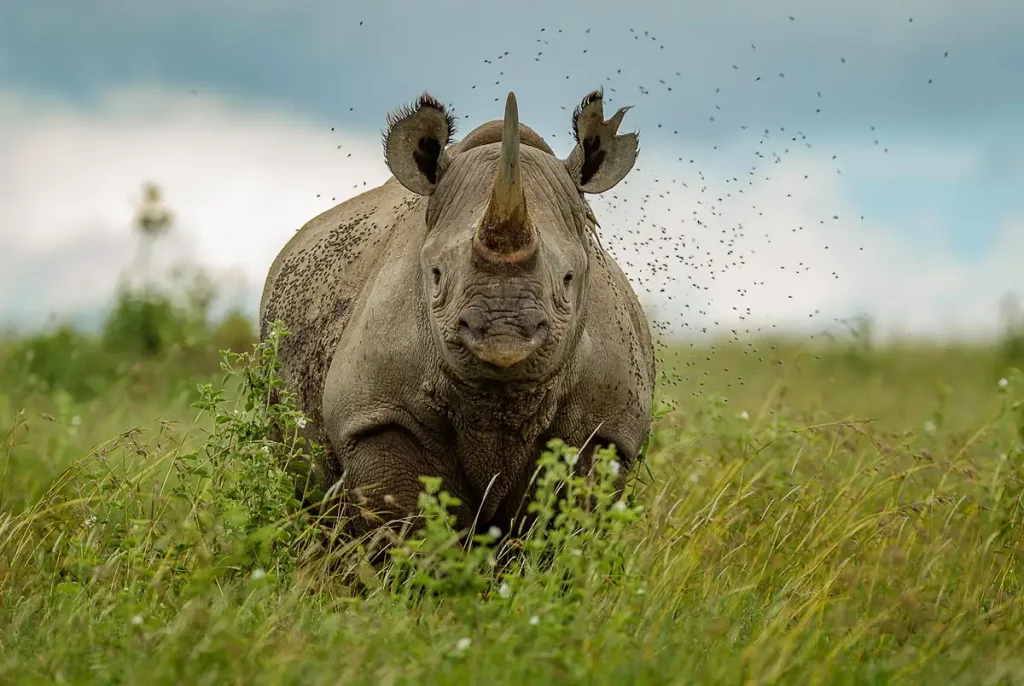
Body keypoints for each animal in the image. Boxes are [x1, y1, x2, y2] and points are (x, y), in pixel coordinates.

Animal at [260, 88, 651, 540]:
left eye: (569, 279)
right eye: (435, 275)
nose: (504, 336)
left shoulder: (604, 431)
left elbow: (558, 531)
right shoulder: (377, 416)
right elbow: (409, 529)